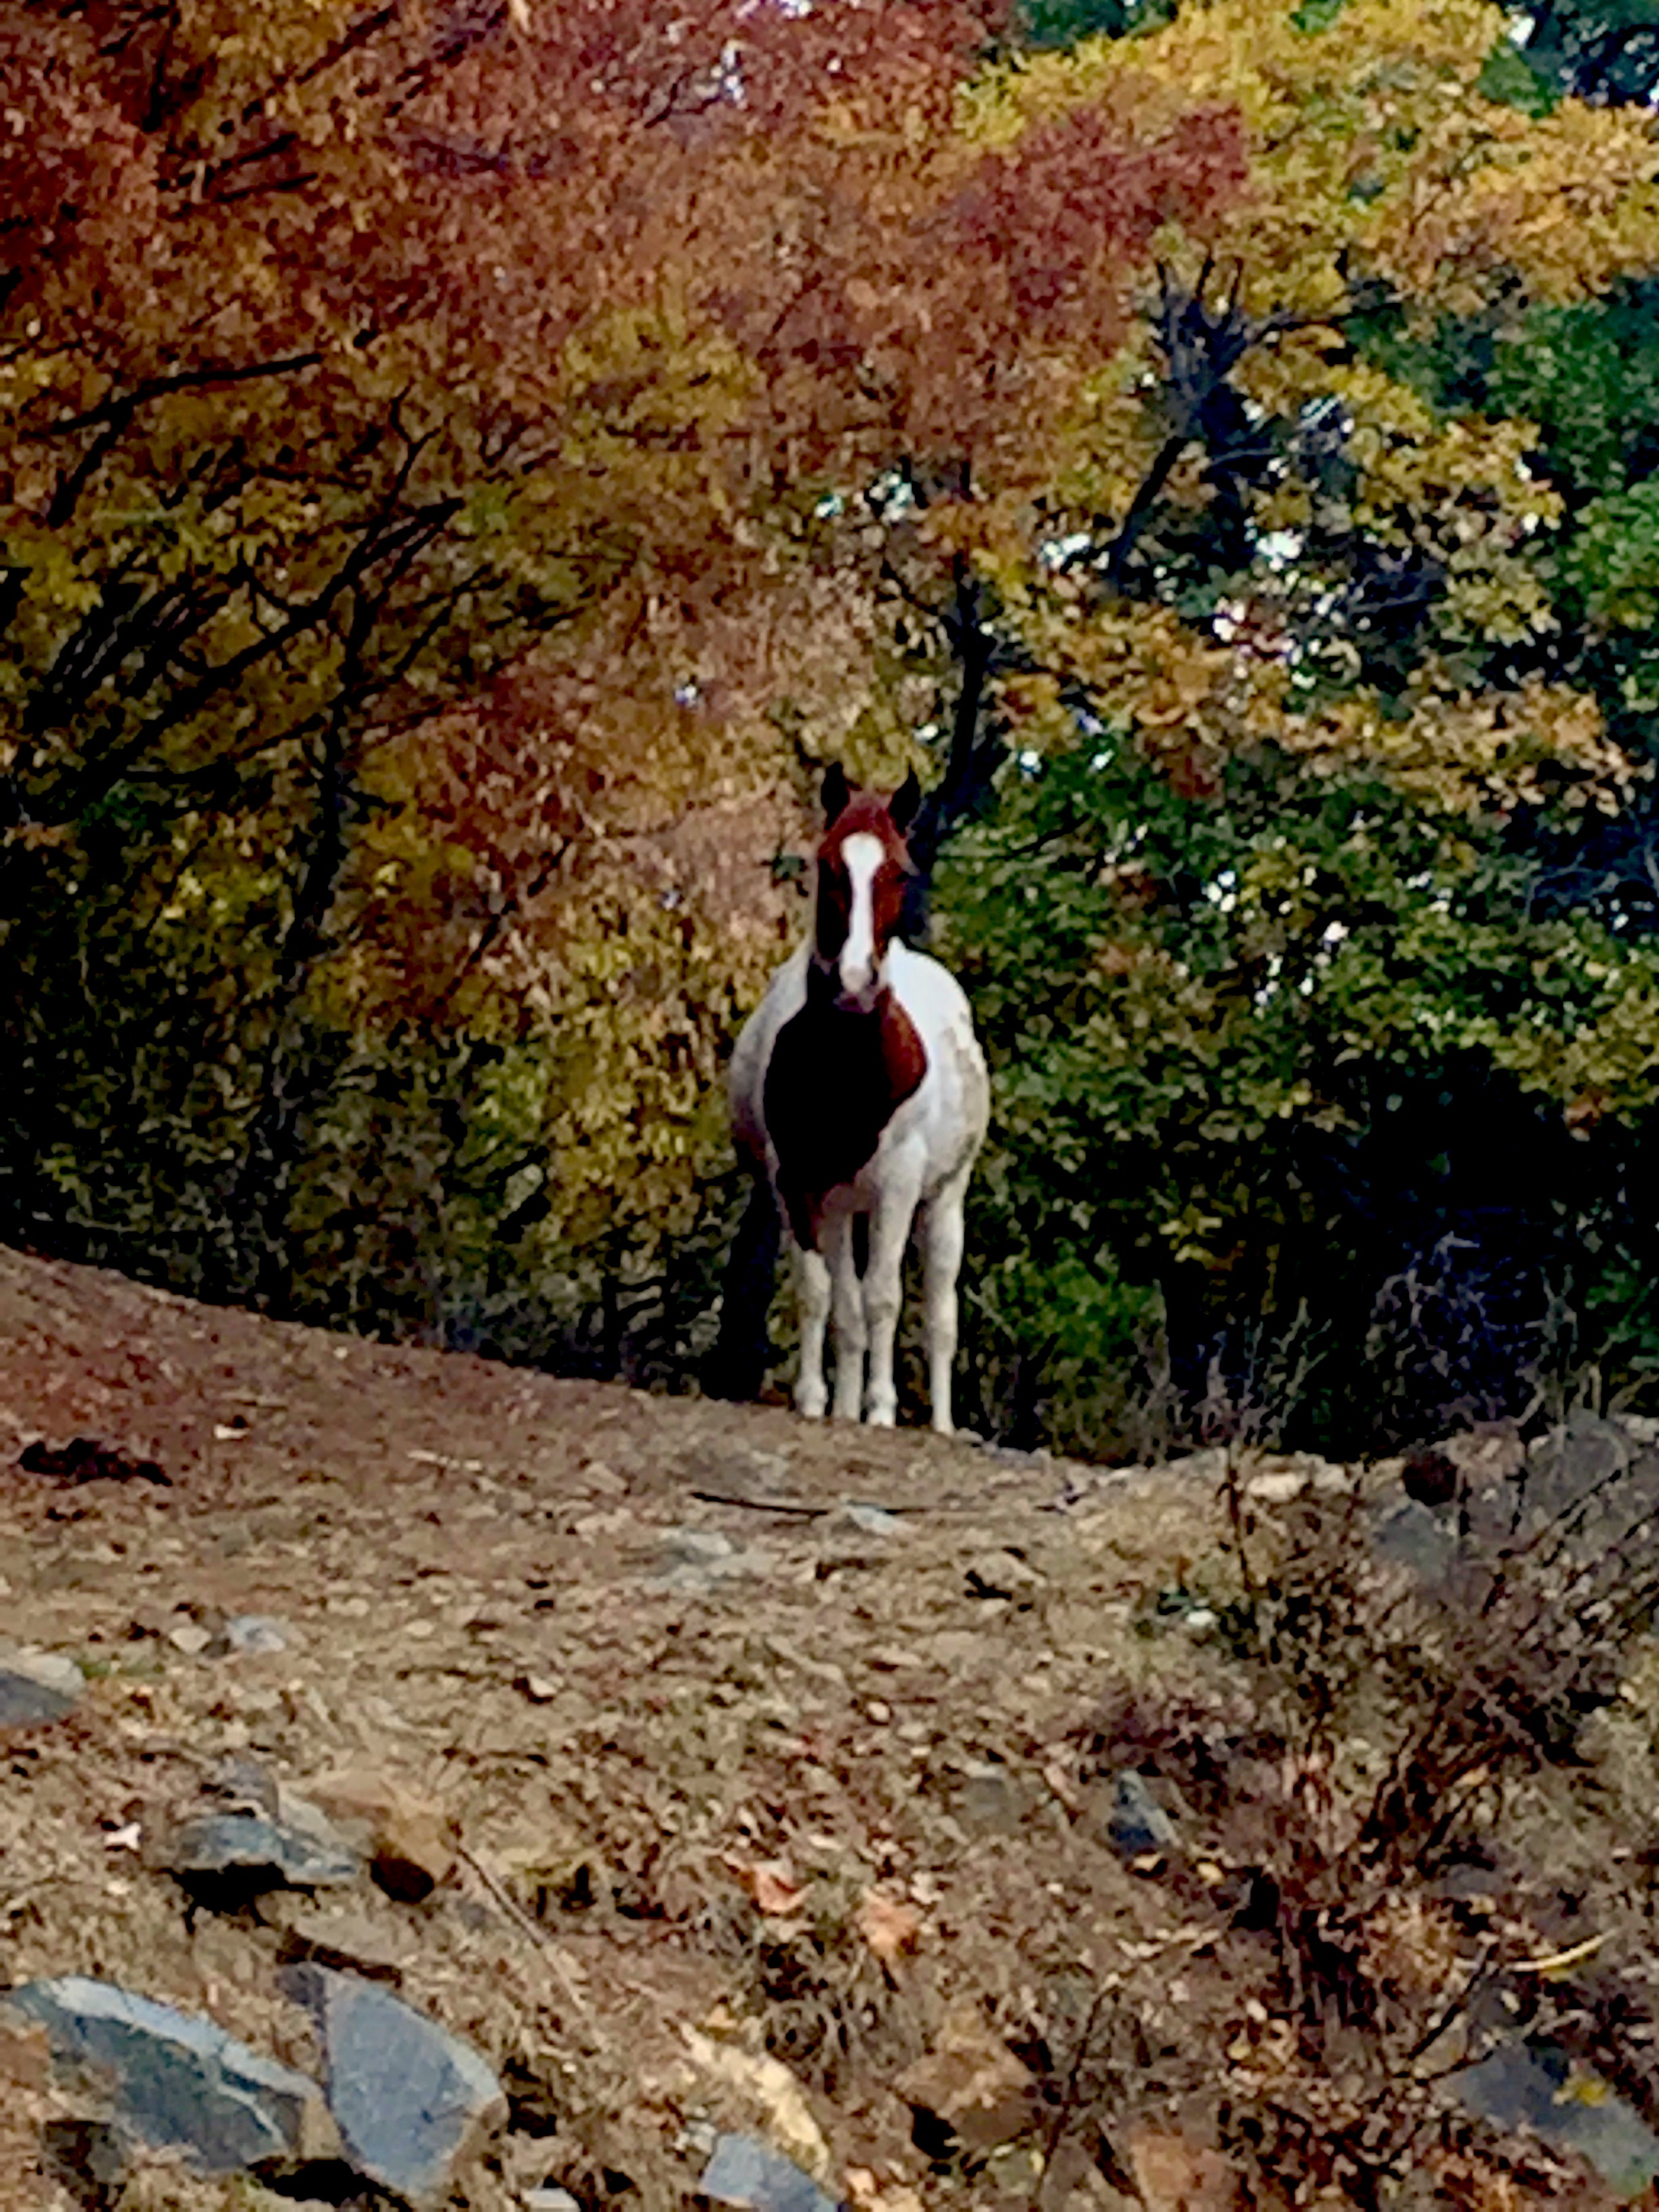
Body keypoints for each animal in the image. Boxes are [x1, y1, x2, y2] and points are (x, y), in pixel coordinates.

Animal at [725, 765, 986, 1433]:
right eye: (829, 865)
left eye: (899, 871)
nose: (854, 981)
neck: (847, 1068)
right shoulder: (796, 1182)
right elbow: (823, 1295)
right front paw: (817, 1401)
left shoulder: (898, 1181)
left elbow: (883, 1298)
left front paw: (883, 1410)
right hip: (842, 1203)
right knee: (846, 1302)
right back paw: (843, 1405)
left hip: (944, 1199)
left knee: (939, 1313)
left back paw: (940, 1423)